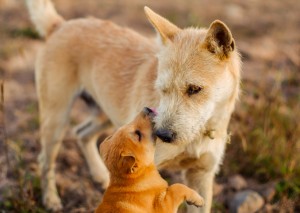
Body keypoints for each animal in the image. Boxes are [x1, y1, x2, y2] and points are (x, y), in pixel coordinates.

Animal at [25, 0, 241, 212]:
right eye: (162, 89)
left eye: (194, 89)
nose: (162, 134)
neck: (199, 134)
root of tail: (60, 25)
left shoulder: (201, 175)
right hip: (56, 119)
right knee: (45, 160)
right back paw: (51, 199)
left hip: (107, 116)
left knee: (81, 133)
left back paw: (101, 175)